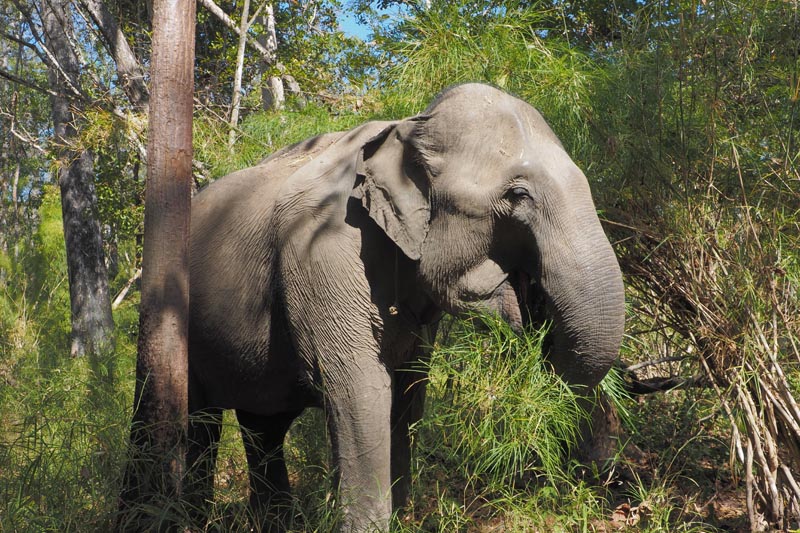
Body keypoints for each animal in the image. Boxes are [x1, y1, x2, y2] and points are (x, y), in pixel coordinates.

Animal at [186, 83, 625, 532]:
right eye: (518, 195)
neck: (409, 126)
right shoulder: (321, 251)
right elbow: (359, 391)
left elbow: (408, 394)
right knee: (195, 423)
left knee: (263, 427)